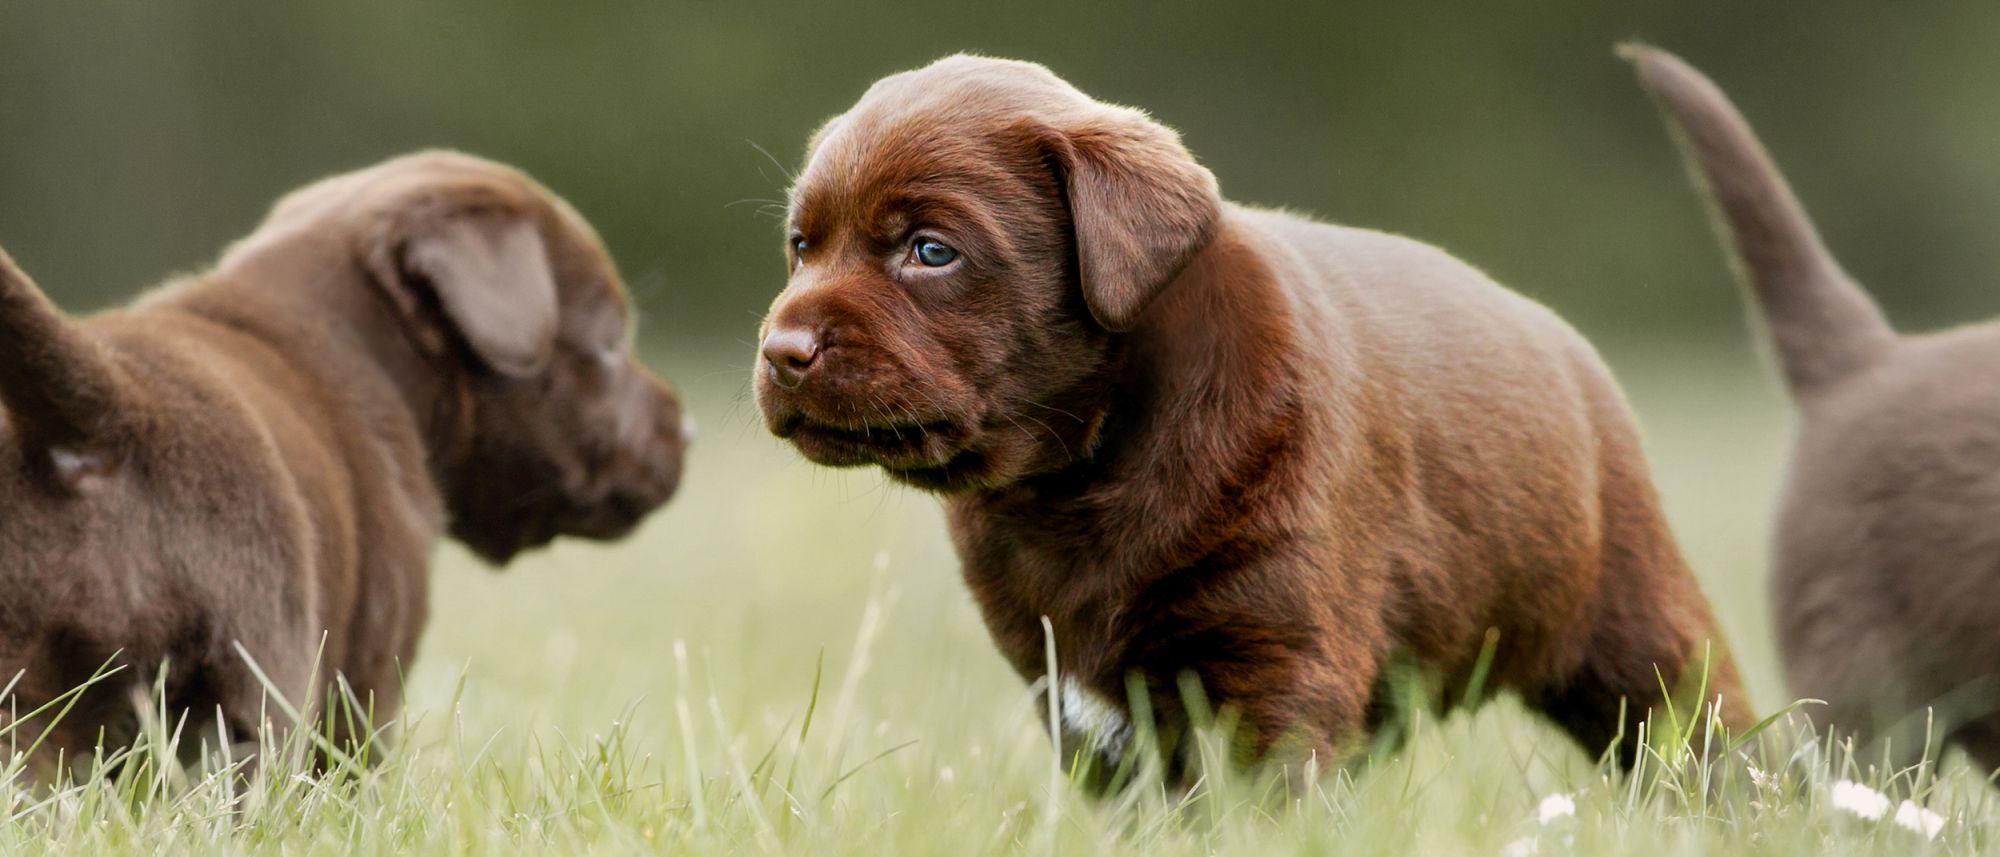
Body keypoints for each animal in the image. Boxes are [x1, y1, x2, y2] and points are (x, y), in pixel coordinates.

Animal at [752, 55, 1752, 776]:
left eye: (931, 251)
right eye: (801, 247)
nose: (781, 349)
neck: (1083, 471)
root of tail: (1566, 342)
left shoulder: (1278, 661)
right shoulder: (1076, 695)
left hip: (1639, 625)